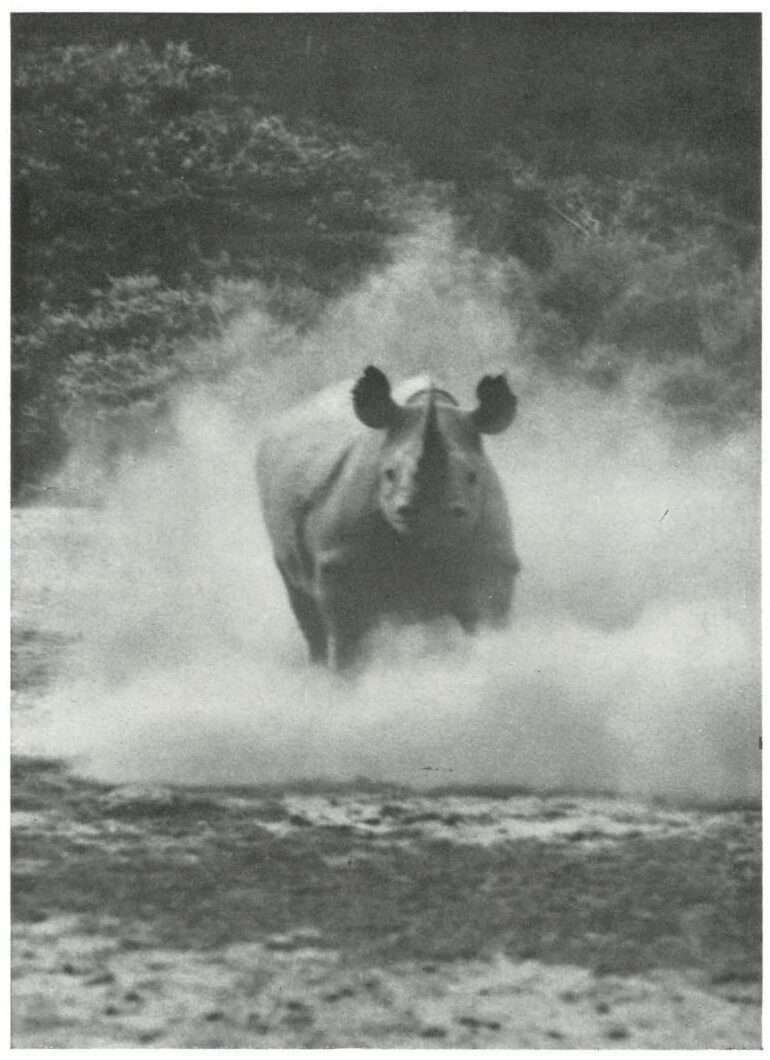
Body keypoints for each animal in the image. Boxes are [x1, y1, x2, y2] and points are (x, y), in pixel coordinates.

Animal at [257, 366, 520, 669]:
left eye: (473, 476)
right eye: (389, 473)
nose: (431, 519)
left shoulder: (491, 558)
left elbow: (486, 622)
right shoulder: (340, 563)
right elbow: (348, 639)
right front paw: (347, 679)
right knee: (303, 602)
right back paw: (316, 669)